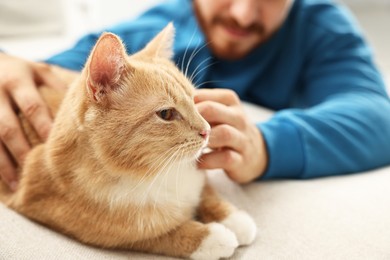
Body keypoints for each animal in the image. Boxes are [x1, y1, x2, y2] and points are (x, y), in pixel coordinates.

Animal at [0, 23, 256, 258]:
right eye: (166, 114)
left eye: (195, 101)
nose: (207, 131)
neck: (157, 172)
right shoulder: (71, 219)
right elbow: (159, 235)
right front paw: (210, 237)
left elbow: (206, 192)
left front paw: (234, 219)